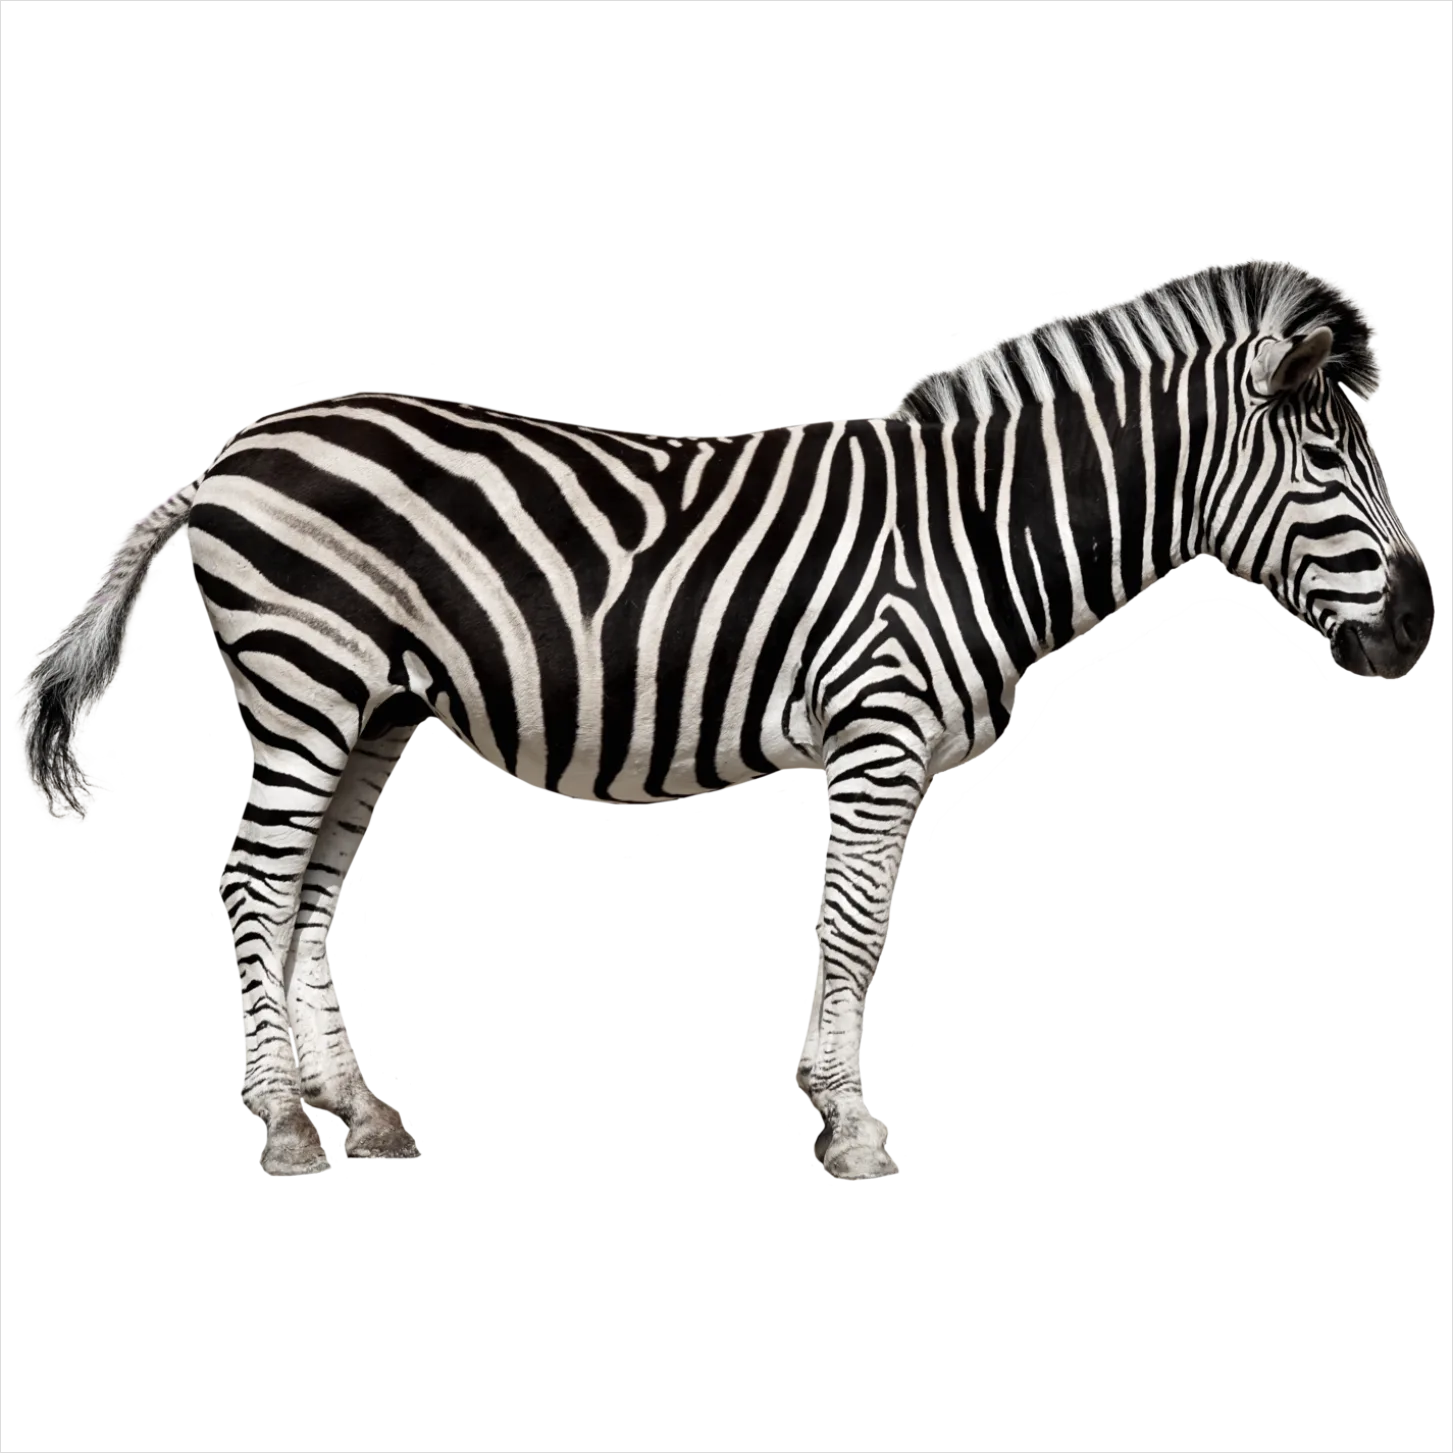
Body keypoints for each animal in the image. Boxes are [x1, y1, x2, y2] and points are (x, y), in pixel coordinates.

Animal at [13, 258, 1435, 1182]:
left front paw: (827, 1109)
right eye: (1327, 461)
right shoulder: (877, 727)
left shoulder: (896, 753)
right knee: (256, 885)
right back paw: (282, 1132)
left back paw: (355, 1115)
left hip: (374, 708)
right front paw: (846, 1128)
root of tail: (233, 452)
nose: (1421, 627)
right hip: (306, 679)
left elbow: (864, 931)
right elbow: (852, 933)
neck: (986, 527)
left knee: (310, 896)